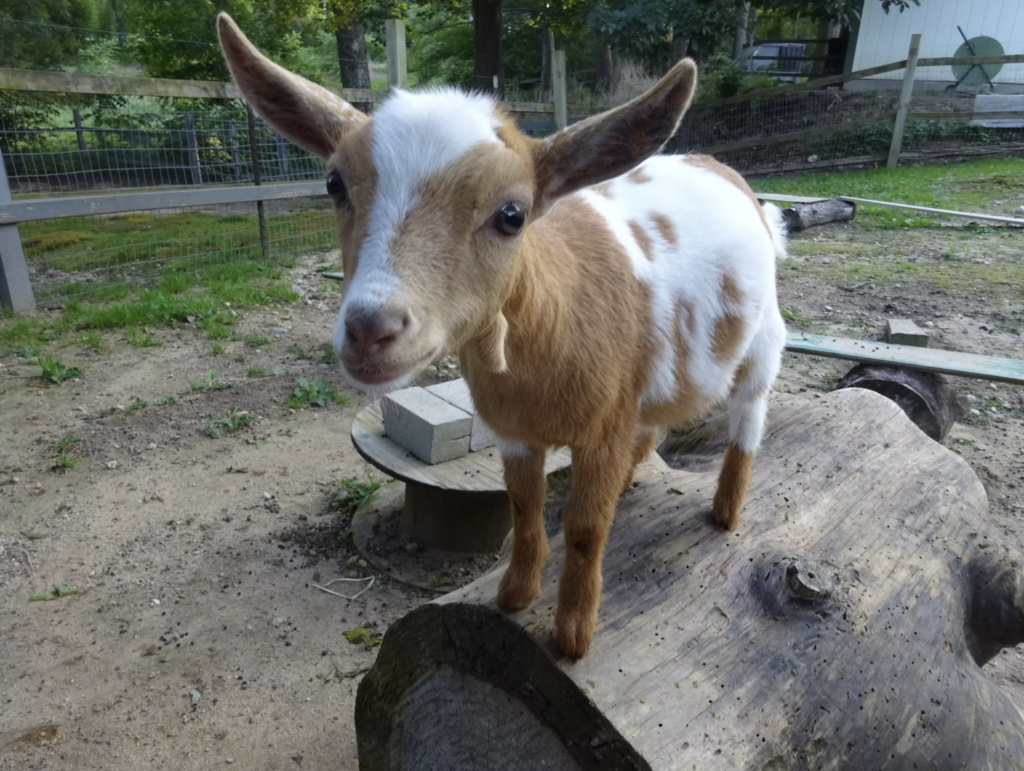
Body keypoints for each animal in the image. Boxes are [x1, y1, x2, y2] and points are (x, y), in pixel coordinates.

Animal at [218, 13, 787, 660]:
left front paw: (572, 637)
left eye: (512, 215)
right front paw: (514, 598)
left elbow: (585, 528)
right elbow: (524, 506)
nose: (369, 329)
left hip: (764, 340)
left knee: (750, 416)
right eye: (334, 184)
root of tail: (720, 166)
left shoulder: (604, 430)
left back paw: (726, 512)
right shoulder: (517, 431)